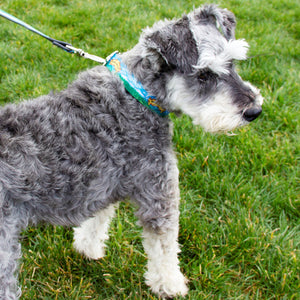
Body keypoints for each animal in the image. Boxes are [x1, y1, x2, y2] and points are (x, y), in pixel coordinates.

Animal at [0, 4, 262, 300]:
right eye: (203, 74)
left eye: (233, 63)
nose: (254, 111)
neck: (137, 95)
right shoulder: (159, 194)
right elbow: (165, 248)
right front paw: (172, 285)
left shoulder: (102, 187)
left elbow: (97, 221)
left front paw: (87, 249)